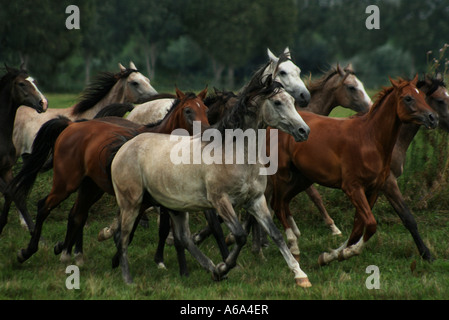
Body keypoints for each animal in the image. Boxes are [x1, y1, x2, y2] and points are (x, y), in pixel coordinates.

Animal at [0, 65, 48, 235]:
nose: (43, 103)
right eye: (21, 84)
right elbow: (10, 193)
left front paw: (33, 230)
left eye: (34, 82)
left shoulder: (6, 169)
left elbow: (15, 195)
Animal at [10, 87, 210, 268]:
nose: (207, 133)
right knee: (44, 206)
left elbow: (133, 230)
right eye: (188, 110)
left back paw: (68, 253)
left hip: (91, 187)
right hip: (66, 183)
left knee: (77, 214)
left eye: (206, 110)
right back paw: (28, 252)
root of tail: (70, 126)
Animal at [100, 72, 314, 288]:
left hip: (172, 206)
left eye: (292, 101)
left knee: (183, 237)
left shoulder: (255, 200)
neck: (235, 153)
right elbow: (239, 236)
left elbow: (276, 235)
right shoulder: (220, 201)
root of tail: (124, 147)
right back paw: (128, 279)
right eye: (277, 102)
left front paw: (300, 275)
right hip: (132, 202)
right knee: (124, 236)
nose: (304, 131)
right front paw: (225, 266)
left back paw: (210, 268)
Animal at [268, 75, 436, 264]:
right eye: (408, 98)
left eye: (423, 95)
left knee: (283, 203)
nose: (432, 118)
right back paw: (292, 245)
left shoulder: (374, 189)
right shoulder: (353, 188)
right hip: (282, 177)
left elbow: (358, 227)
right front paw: (348, 252)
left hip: (302, 179)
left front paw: (331, 255)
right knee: (277, 205)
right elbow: (371, 224)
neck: (369, 140)